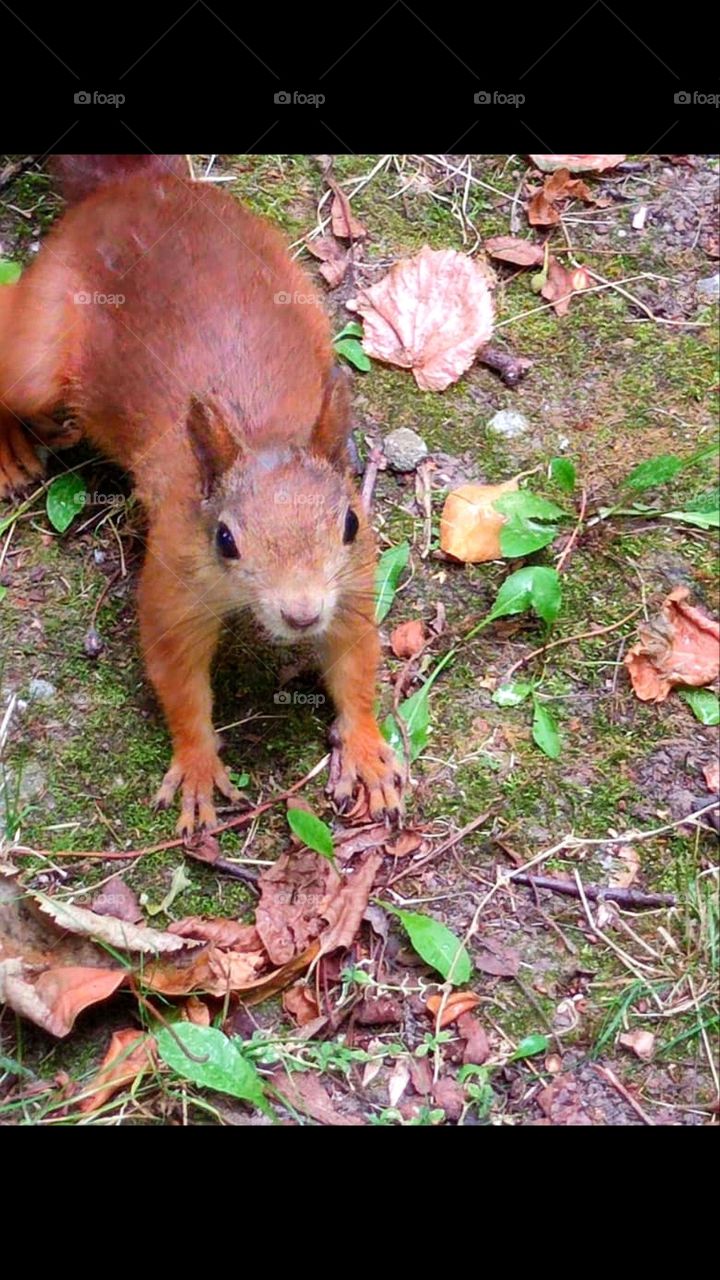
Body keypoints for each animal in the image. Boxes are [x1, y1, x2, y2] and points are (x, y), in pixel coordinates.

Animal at [0, 154, 402, 833]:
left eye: (349, 523)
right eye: (225, 539)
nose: (301, 615)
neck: (261, 432)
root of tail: (134, 185)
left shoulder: (351, 578)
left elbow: (354, 654)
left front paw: (368, 748)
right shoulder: (175, 572)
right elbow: (176, 668)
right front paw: (195, 762)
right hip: (36, 354)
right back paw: (11, 448)